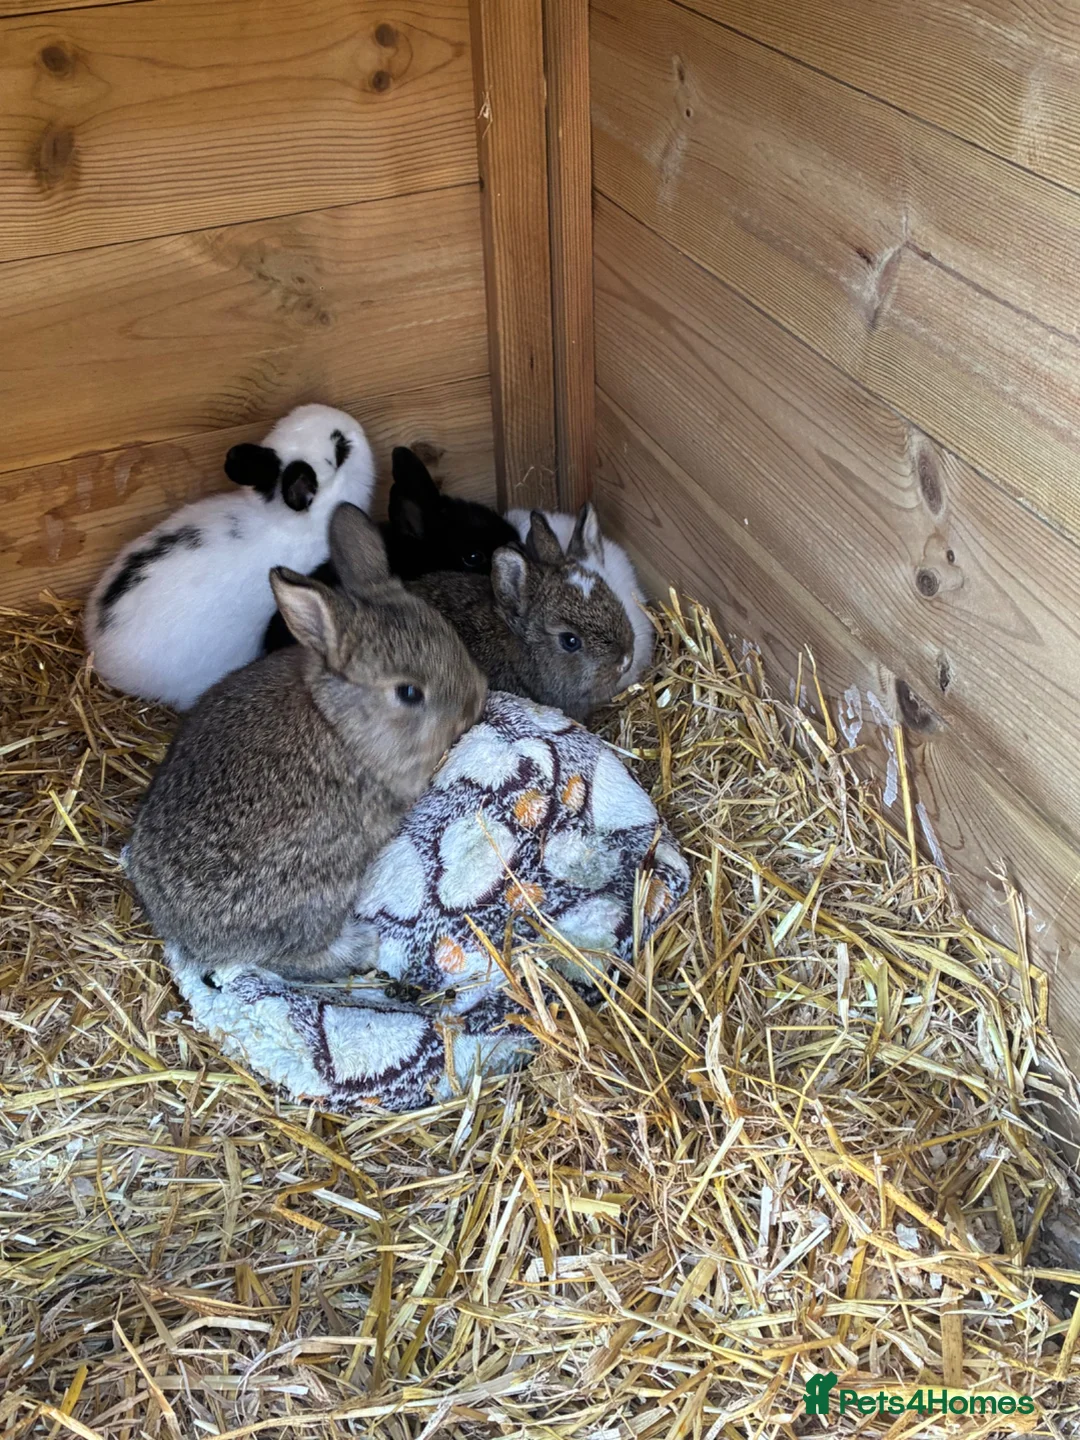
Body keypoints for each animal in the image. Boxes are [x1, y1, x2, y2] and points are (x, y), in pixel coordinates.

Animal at [125, 503, 488, 981]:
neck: (337, 722)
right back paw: (359, 947)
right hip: (321, 893)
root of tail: (186, 934)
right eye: (409, 693)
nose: (477, 701)